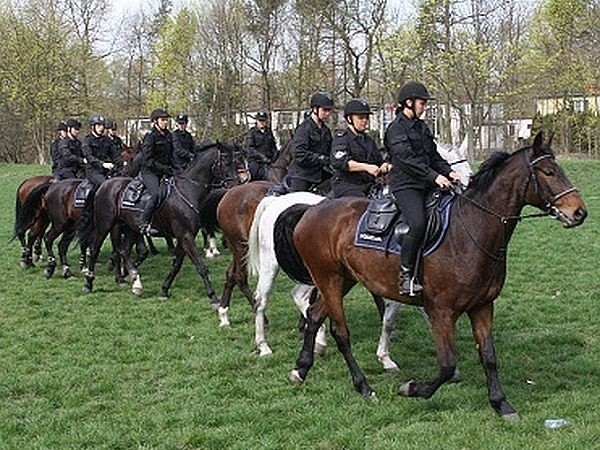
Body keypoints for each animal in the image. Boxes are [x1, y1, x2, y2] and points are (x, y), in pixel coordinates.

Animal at [276, 133, 584, 418]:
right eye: (548, 172)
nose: (579, 212)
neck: (469, 231)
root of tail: (312, 210)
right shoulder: (441, 311)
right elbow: (446, 366)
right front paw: (412, 388)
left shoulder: (483, 306)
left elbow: (489, 356)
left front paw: (501, 404)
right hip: (328, 278)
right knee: (340, 332)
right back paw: (363, 386)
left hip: (343, 279)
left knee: (314, 315)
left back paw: (300, 369)